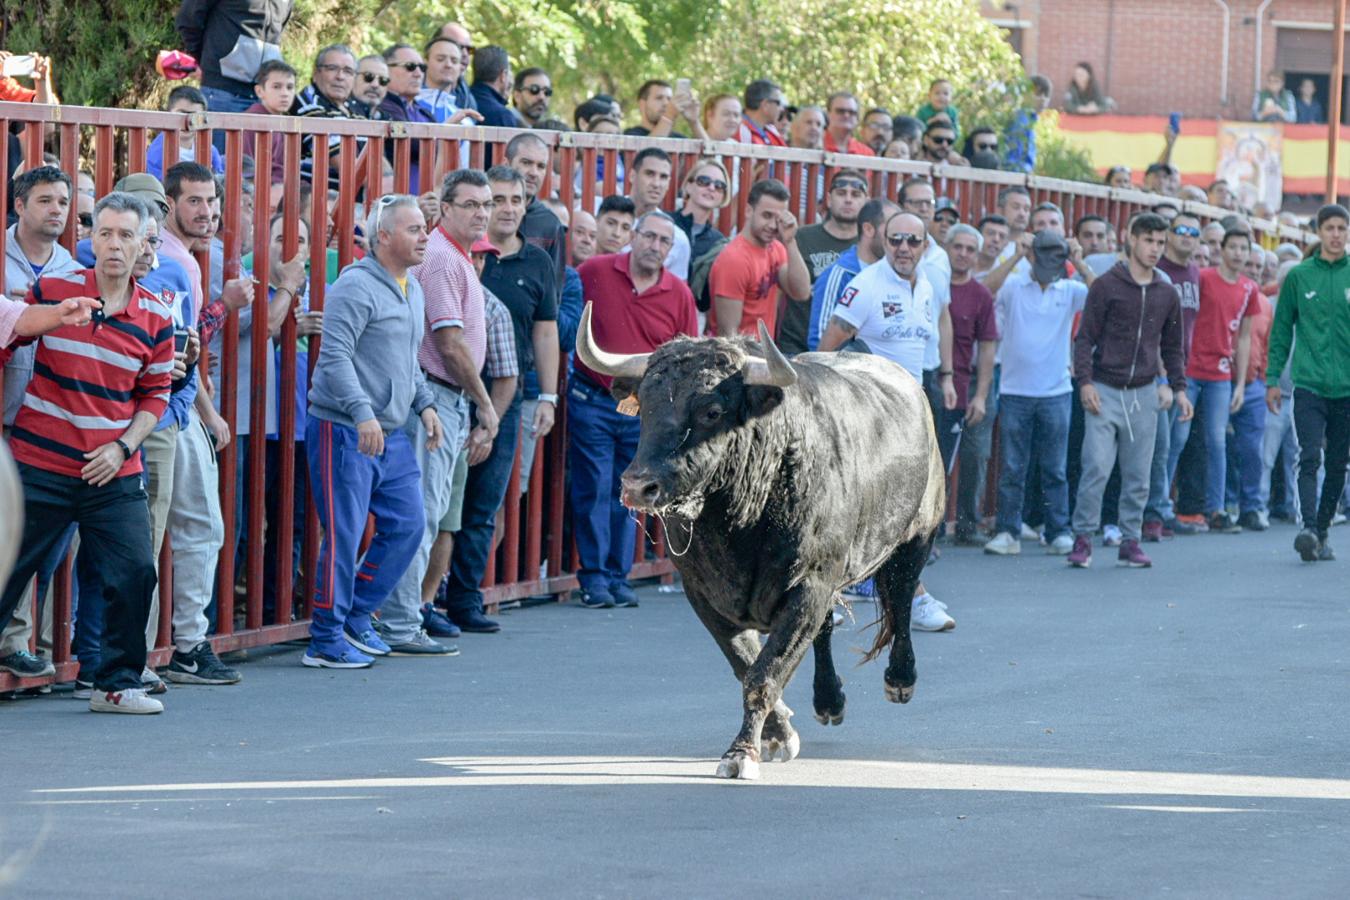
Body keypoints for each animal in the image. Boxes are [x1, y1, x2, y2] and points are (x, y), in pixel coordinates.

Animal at [575, 304, 945, 782]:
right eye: (646, 406)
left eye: (712, 410)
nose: (639, 486)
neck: (739, 525)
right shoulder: (705, 596)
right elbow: (746, 664)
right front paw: (777, 733)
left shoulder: (809, 586)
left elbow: (764, 674)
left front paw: (742, 753)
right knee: (828, 630)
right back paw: (829, 702)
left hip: (917, 534)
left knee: (900, 598)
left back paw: (900, 680)